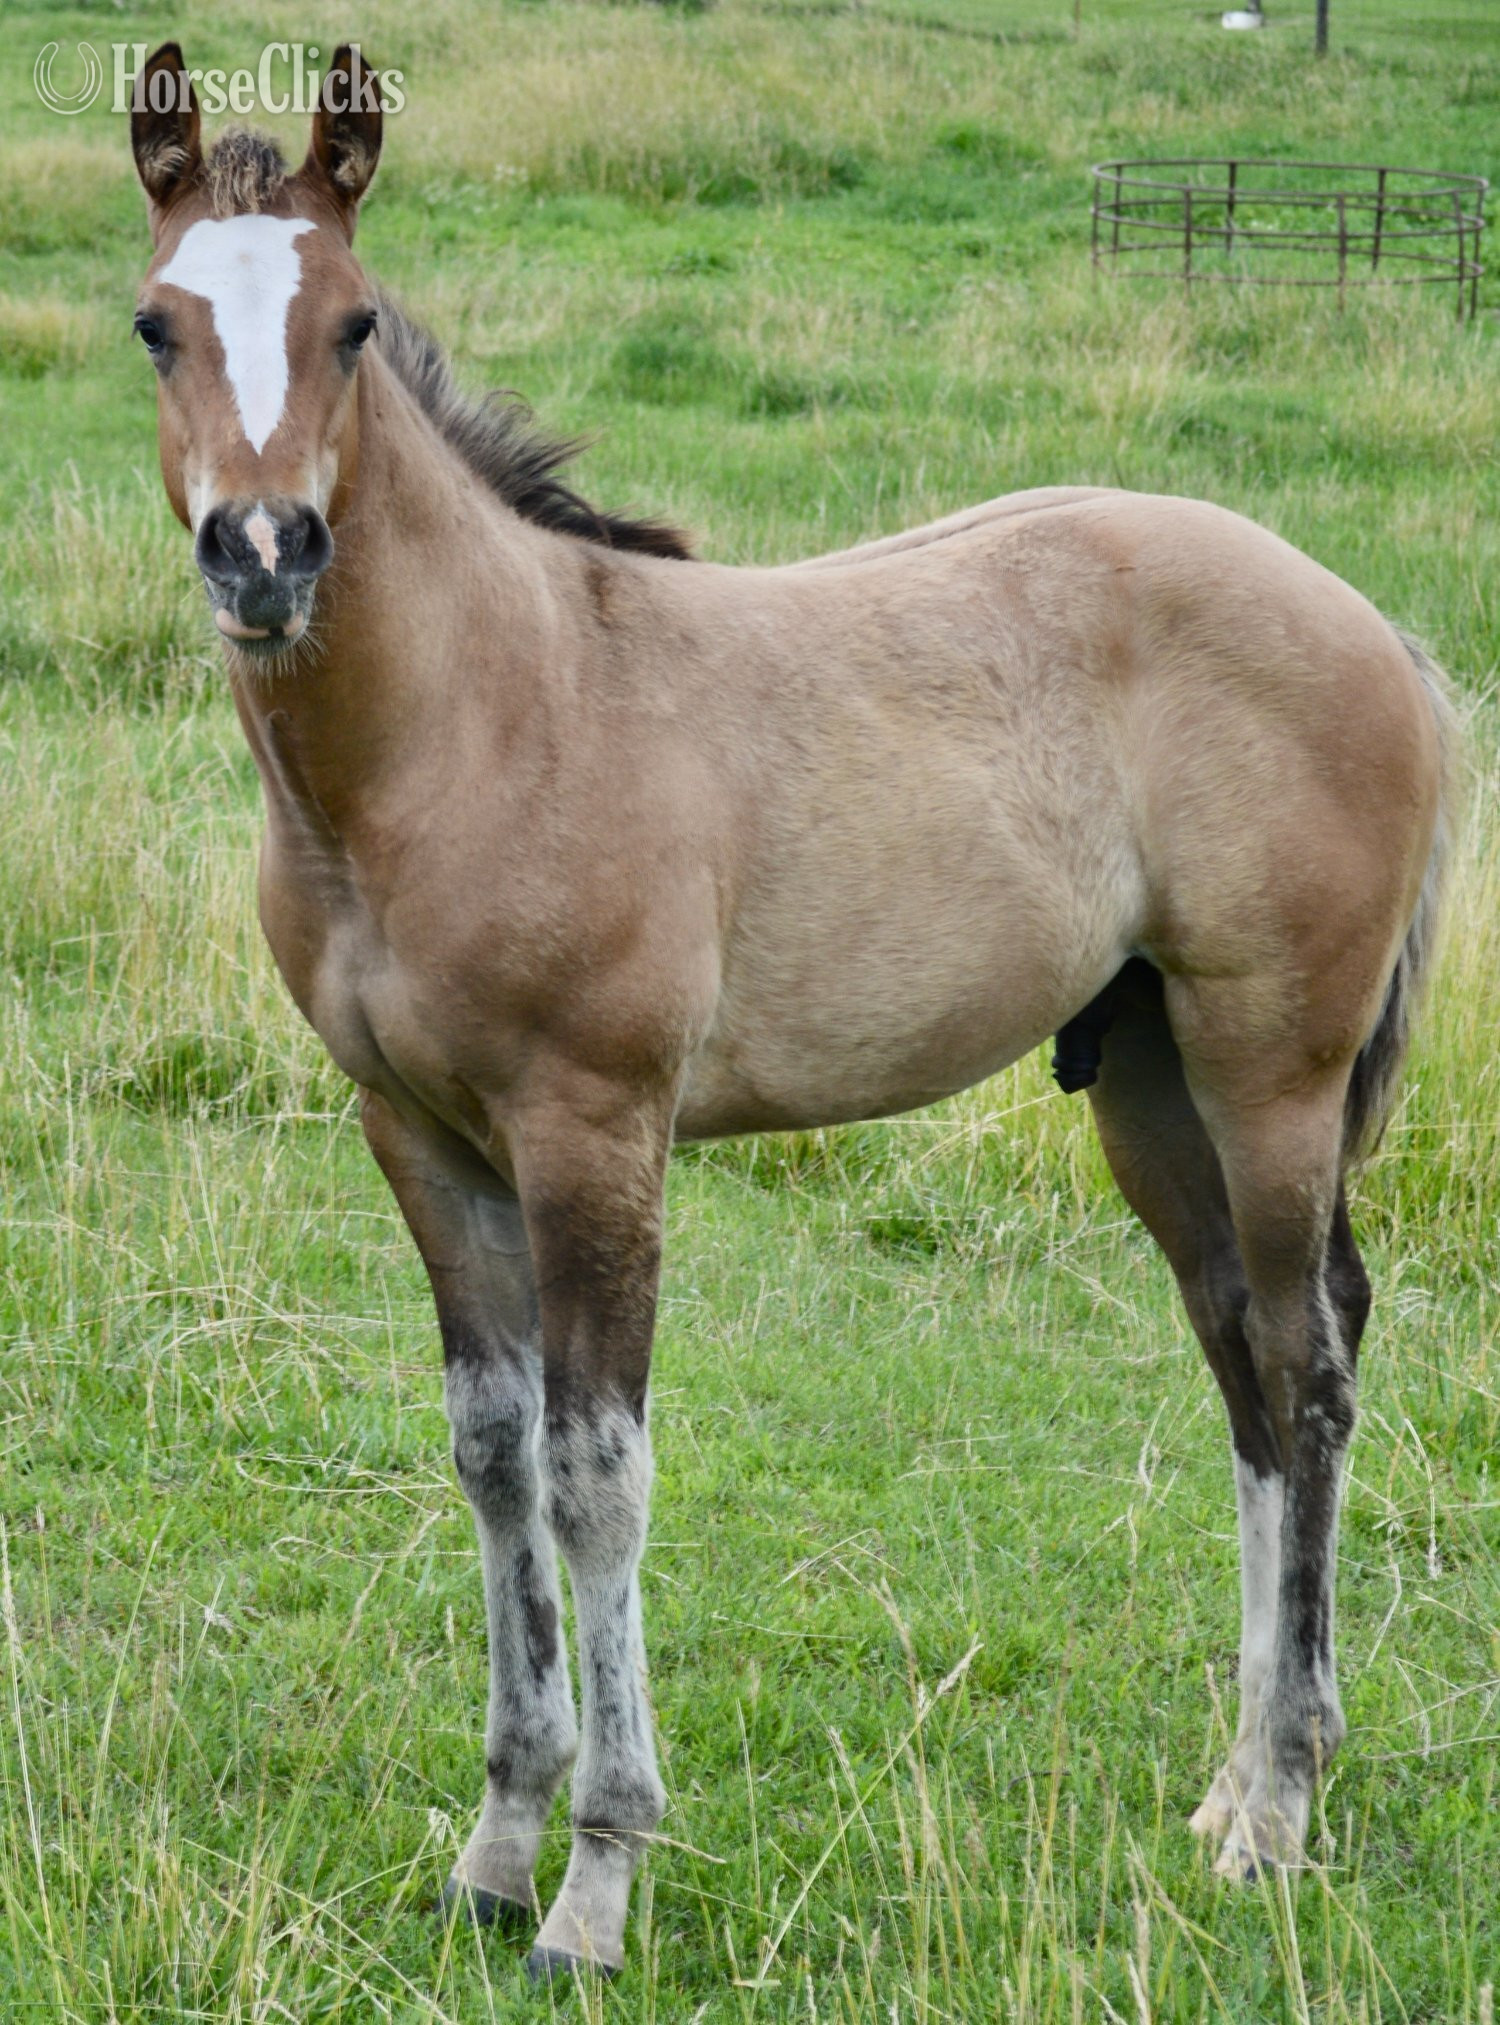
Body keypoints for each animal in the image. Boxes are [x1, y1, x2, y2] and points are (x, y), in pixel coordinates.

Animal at [129, 43, 1455, 1979]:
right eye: (156, 324)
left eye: (355, 324)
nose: (264, 552)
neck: (477, 721)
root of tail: (1386, 635)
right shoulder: (421, 1137)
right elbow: (493, 1458)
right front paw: (493, 1857)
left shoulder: (593, 1129)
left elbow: (596, 1474)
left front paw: (595, 1889)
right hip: (1150, 1085)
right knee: (1244, 1366)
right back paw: (1234, 1786)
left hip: (1269, 1069)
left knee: (1309, 1368)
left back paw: (1278, 1809)